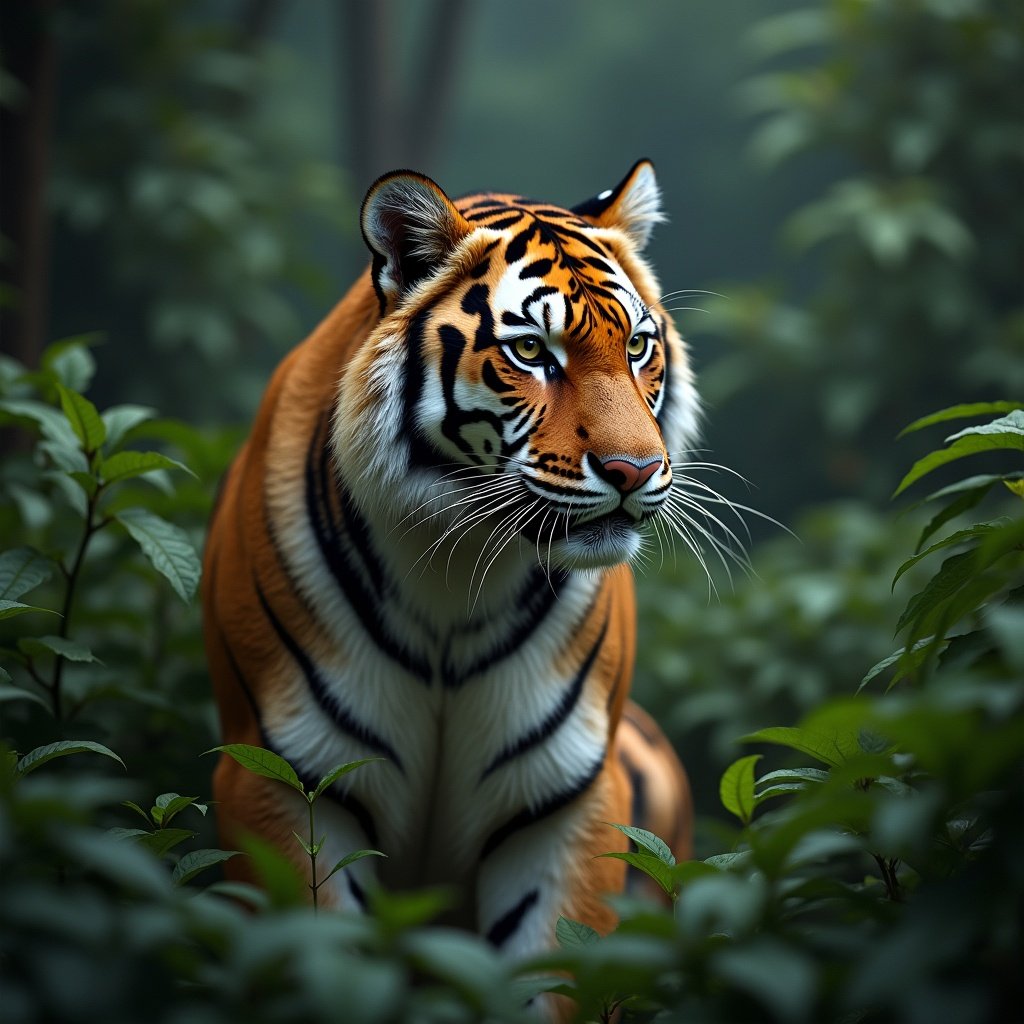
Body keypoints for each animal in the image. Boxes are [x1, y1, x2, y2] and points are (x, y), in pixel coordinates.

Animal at [201, 161, 696, 1007]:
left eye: (637, 346)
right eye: (530, 350)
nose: (635, 471)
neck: (456, 565)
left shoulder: (567, 802)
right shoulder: (287, 781)